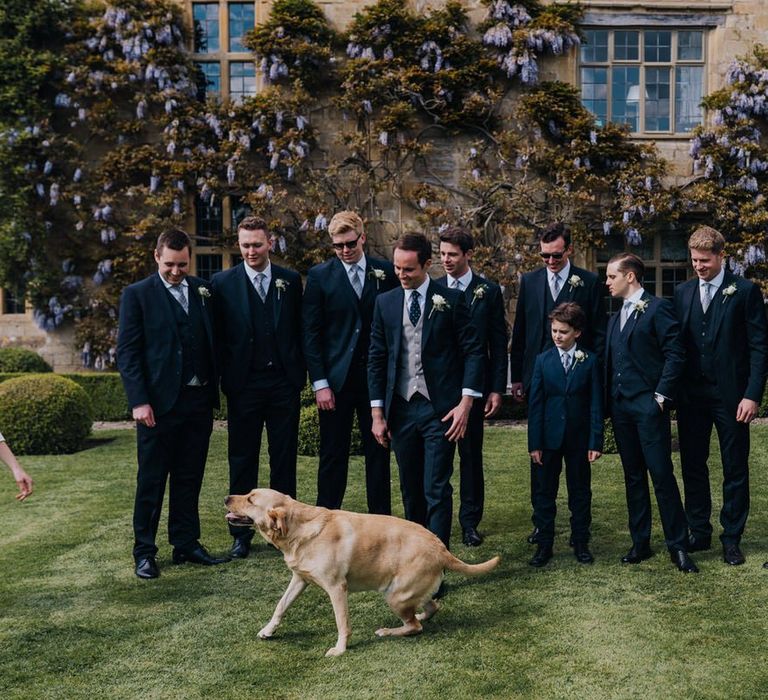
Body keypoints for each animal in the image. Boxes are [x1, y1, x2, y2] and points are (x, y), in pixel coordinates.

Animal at [224, 486, 498, 656]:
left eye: (250, 499)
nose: (226, 498)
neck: (299, 528)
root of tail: (441, 547)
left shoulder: (337, 588)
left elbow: (342, 623)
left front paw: (340, 650)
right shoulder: (300, 579)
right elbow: (280, 606)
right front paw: (268, 630)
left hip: (394, 595)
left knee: (414, 627)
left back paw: (388, 631)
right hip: (407, 593)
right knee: (431, 608)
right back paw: (419, 615)